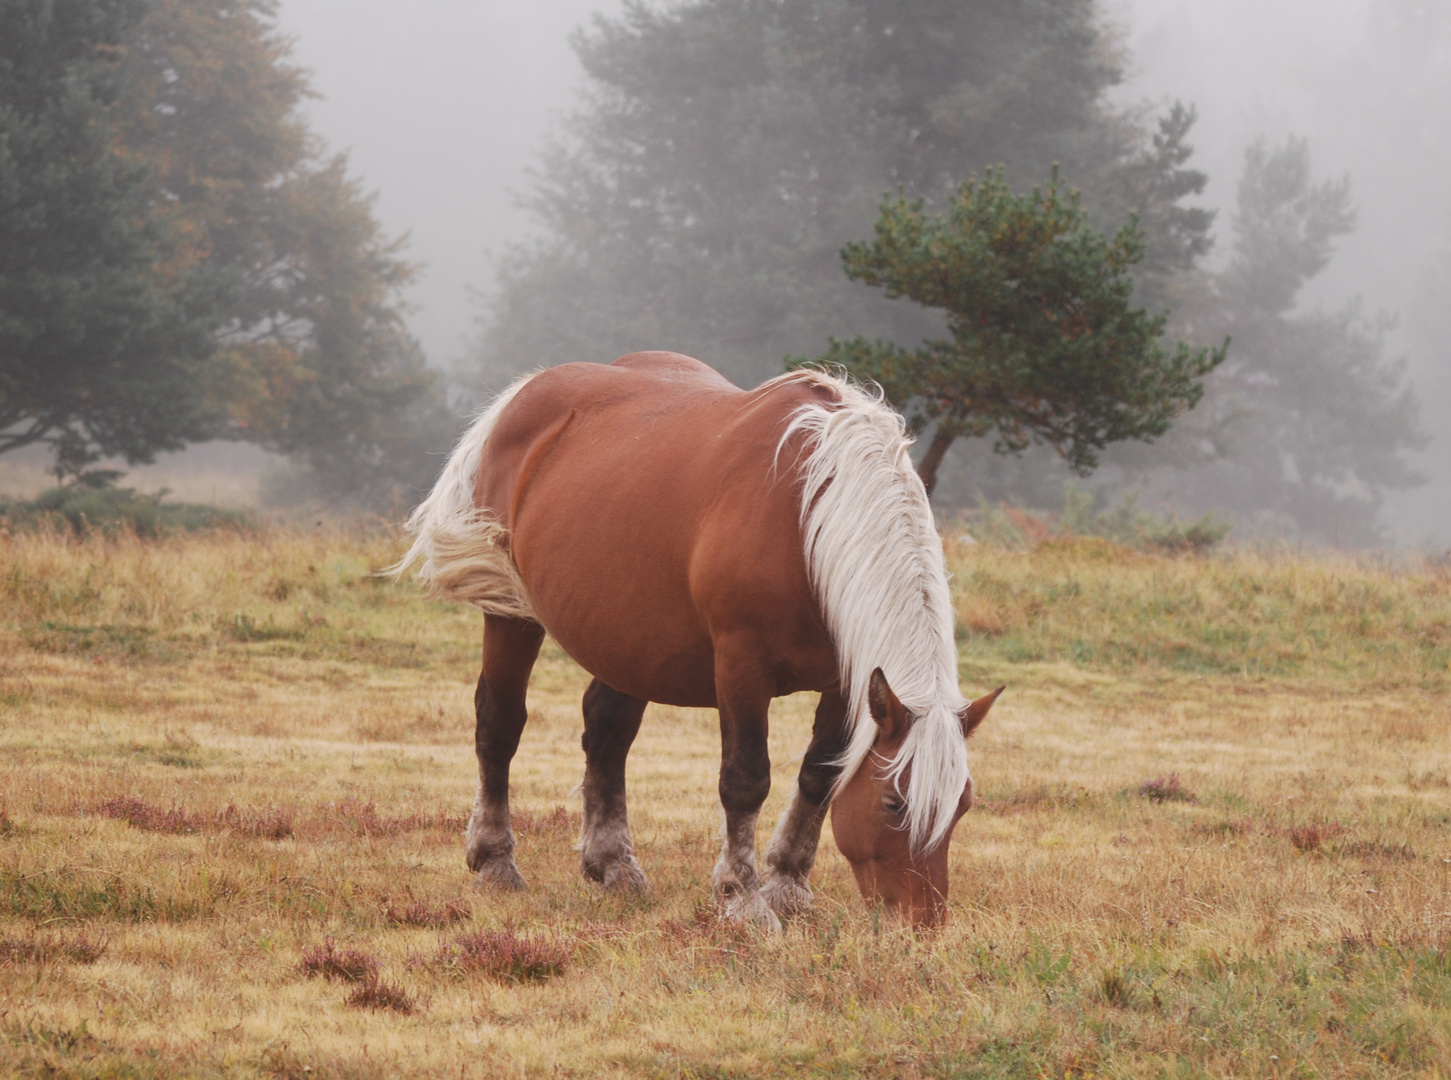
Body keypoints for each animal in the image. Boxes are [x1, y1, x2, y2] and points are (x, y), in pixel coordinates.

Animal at [391, 352, 1004, 929]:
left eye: (963, 805)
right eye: (894, 802)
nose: (922, 921)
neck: (807, 515)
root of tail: (527, 391)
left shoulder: (845, 682)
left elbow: (821, 775)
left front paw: (788, 886)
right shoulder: (740, 665)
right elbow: (746, 780)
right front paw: (742, 898)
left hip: (628, 640)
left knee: (607, 733)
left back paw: (614, 865)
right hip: (512, 615)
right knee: (499, 724)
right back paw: (495, 862)